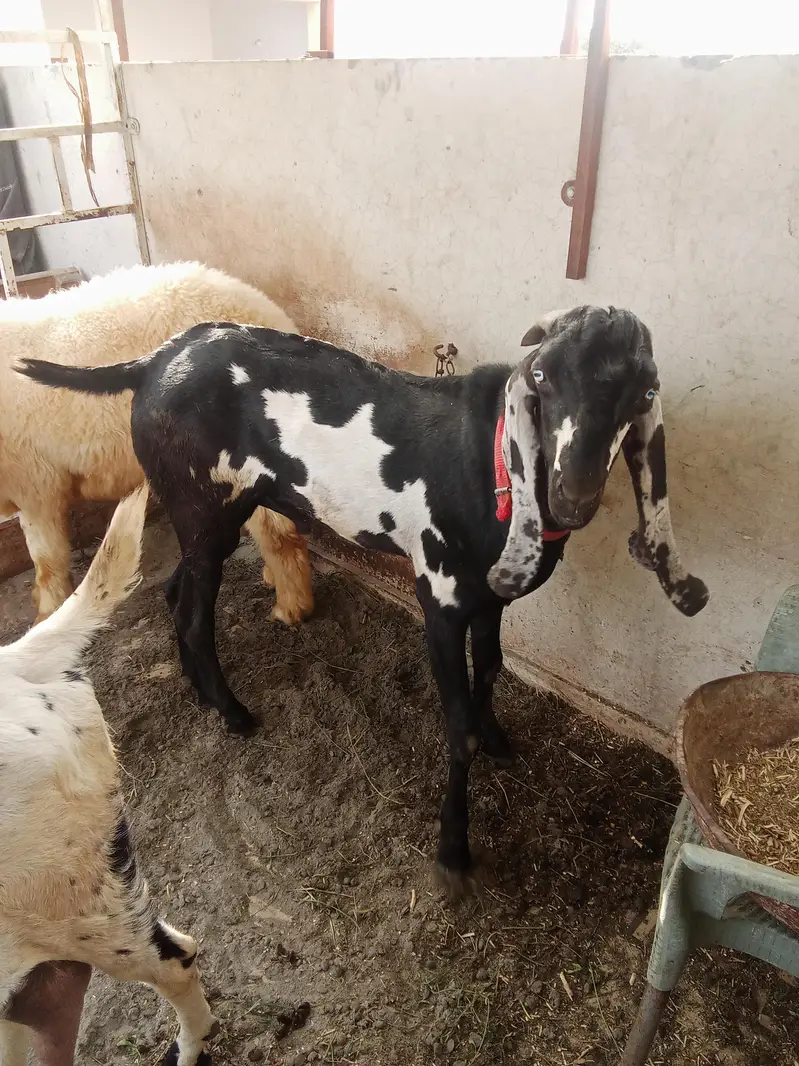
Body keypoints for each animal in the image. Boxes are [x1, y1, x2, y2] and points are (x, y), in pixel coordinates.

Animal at [0, 260, 313, 626]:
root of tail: (269, 313)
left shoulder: (35, 483)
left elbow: (46, 561)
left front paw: (46, 615)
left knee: (278, 532)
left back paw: (291, 606)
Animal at [17, 305, 709, 892]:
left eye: (645, 391)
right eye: (542, 375)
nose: (573, 494)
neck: (489, 464)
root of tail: (155, 360)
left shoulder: (489, 600)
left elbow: (490, 670)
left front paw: (501, 742)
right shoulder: (439, 598)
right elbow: (457, 727)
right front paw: (453, 854)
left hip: (209, 511)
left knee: (176, 591)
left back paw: (203, 693)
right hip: (200, 500)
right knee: (190, 612)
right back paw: (234, 713)